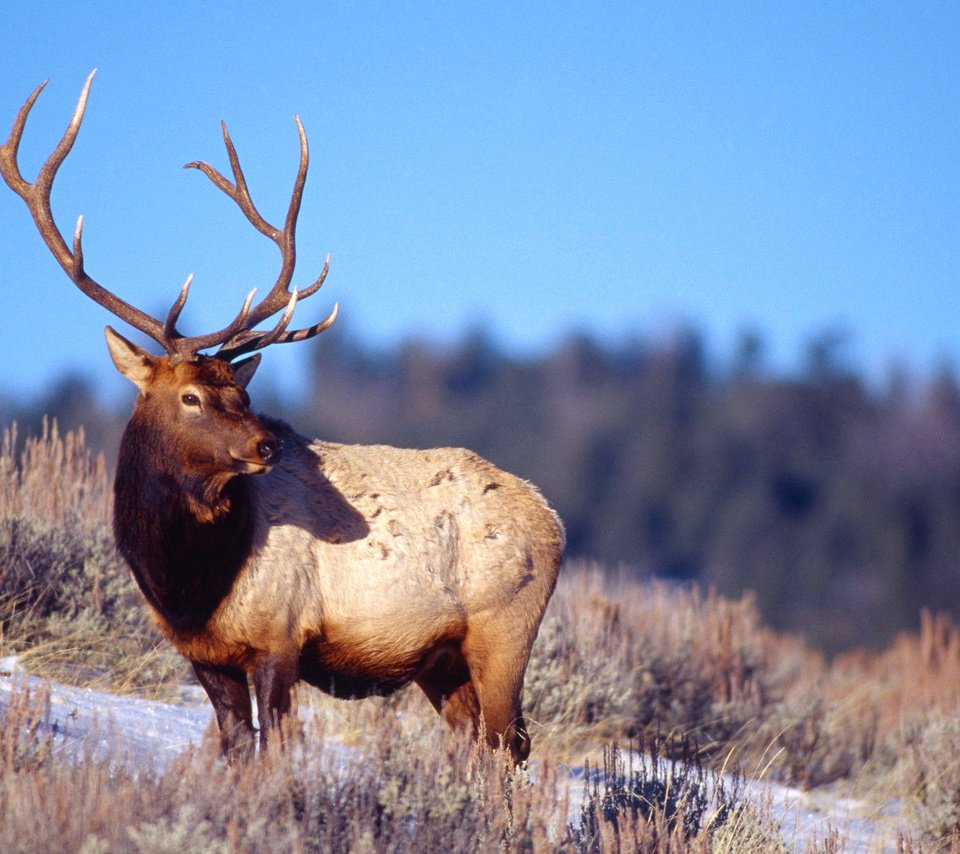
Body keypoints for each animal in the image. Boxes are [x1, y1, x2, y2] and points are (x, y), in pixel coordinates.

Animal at [1, 73, 564, 764]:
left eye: (240, 395)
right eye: (191, 397)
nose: (267, 445)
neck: (187, 583)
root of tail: (553, 518)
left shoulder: (281, 635)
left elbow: (272, 745)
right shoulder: (203, 654)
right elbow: (235, 745)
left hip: (504, 629)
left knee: (510, 746)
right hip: (442, 661)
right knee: (481, 748)